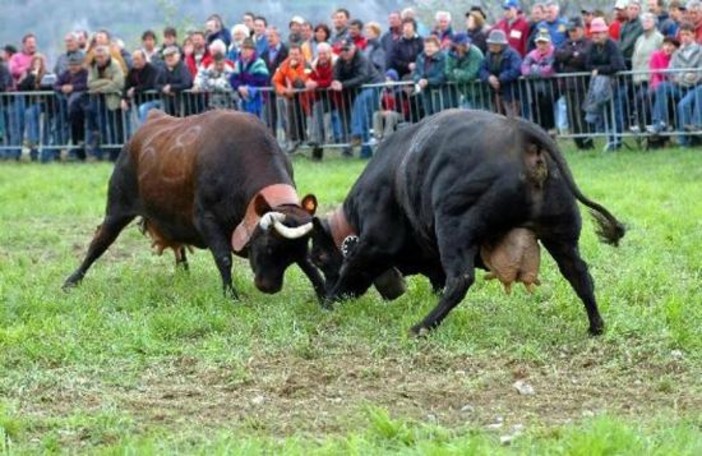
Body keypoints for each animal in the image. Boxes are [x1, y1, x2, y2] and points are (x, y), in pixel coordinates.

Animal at [62, 109, 324, 300]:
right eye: (268, 246)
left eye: (293, 253)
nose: (269, 287)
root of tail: (152, 119)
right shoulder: (205, 219)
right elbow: (224, 257)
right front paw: (231, 295)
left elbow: (308, 265)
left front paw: (323, 292)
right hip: (118, 207)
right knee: (99, 242)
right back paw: (72, 280)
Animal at [314, 110, 628, 334]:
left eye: (320, 258)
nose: (321, 295)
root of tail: (521, 133)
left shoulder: (374, 243)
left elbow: (350, 269)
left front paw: (328, 304)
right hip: (560, 234)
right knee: (579, 274)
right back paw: (596, 326)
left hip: (454, 226)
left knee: (461, 279)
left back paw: (421, 327)